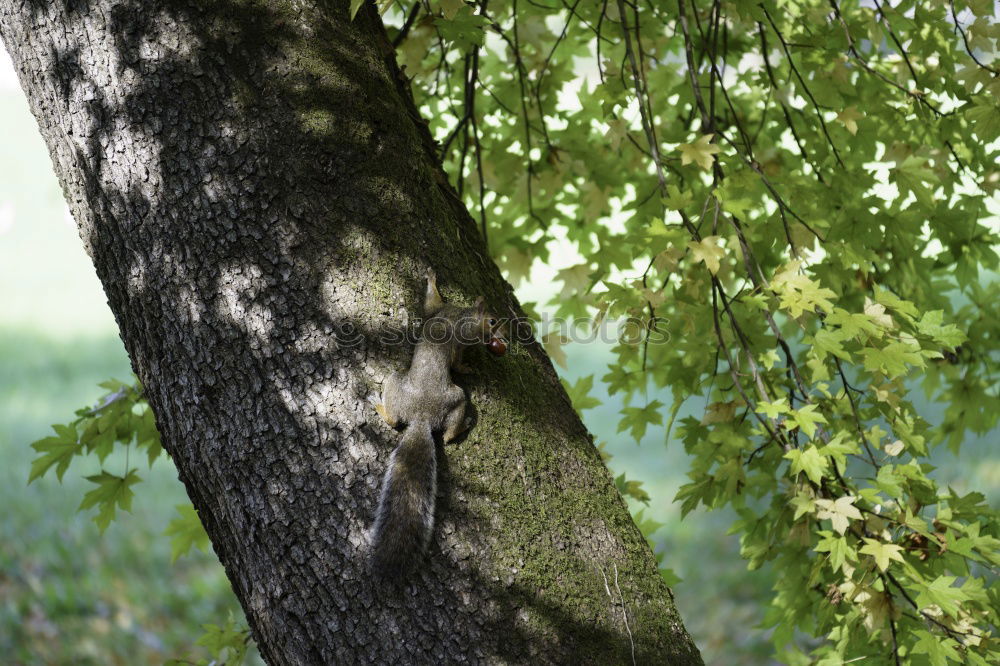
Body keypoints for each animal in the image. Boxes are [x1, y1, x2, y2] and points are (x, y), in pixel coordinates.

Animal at [370, 270, 504, 576]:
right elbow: (434, 309)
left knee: (408, 424)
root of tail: (422, 417)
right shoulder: (450, 323)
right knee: (440, 433)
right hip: (445, 395)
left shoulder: (445, 318)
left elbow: (431, 306)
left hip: (405, 383)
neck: (462, 315)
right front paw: (431, 278)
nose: (502, 338)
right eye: (492, 320)